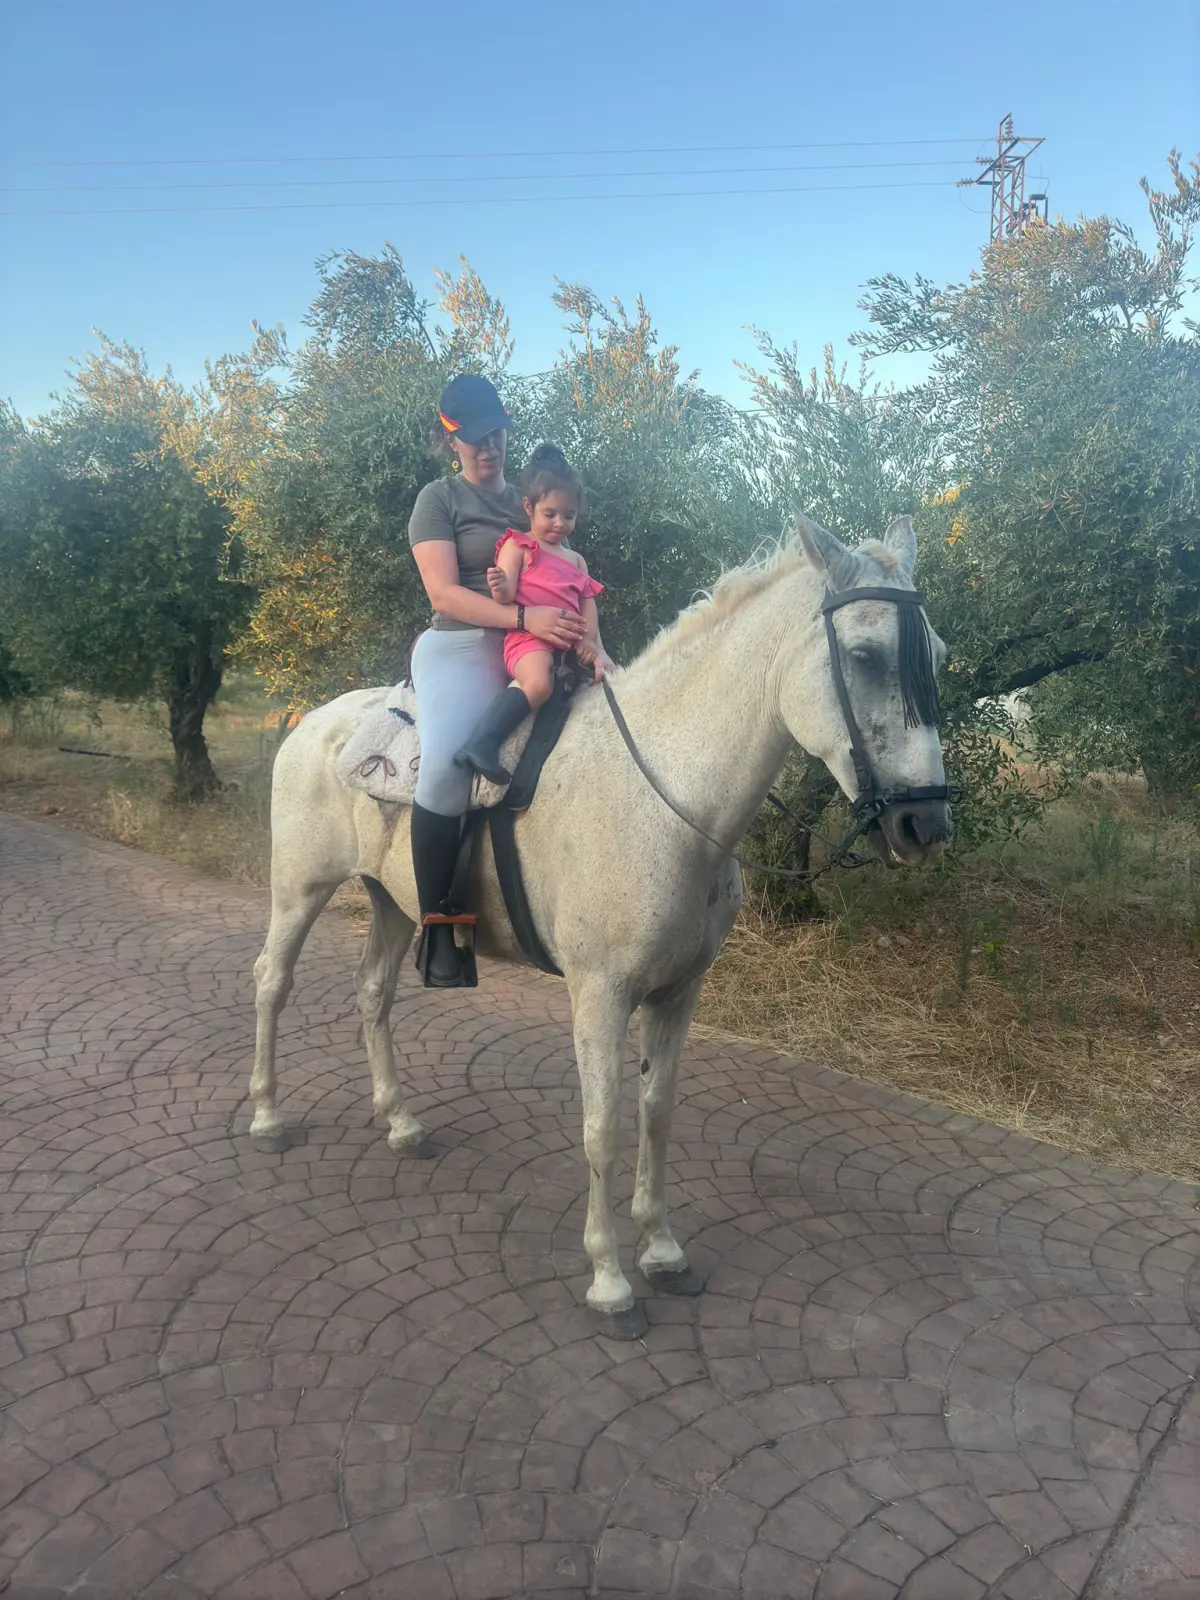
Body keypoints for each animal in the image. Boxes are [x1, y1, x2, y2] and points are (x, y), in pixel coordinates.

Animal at [248, 515, 950, 1334]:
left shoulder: (679, 994)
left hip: (393, 904)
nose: (926, 824)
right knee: (272, 981)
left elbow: (656, 1113)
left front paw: (662, 1249)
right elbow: (602, 1128)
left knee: (372, 996)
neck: (667, 796)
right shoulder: (601, 996)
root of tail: (316, 722)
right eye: (866, 656)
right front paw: (610, 1280)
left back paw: (400, 1123)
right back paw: (267, 1116)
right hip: (299, 889)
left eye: (936, 656)